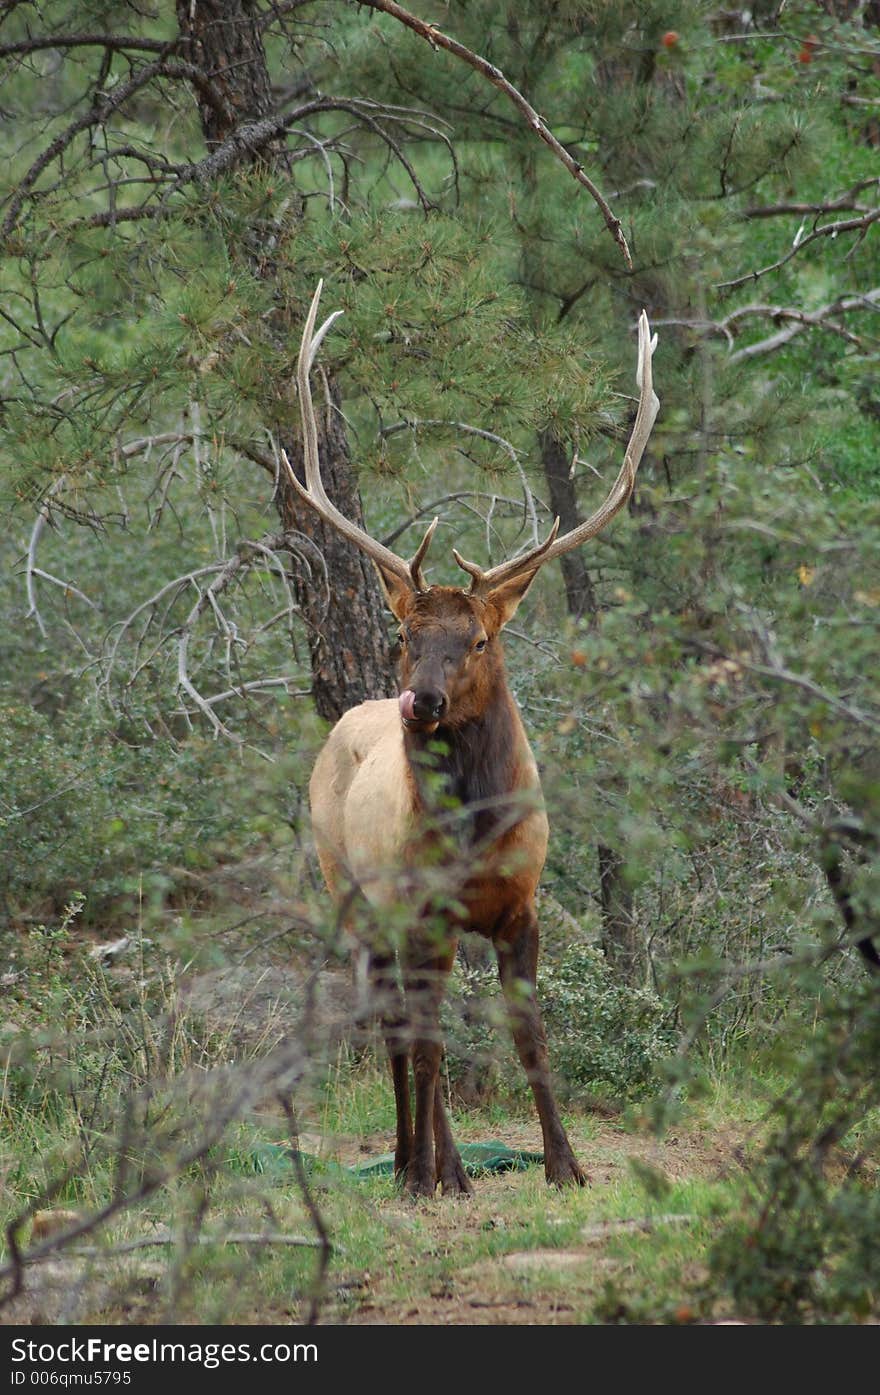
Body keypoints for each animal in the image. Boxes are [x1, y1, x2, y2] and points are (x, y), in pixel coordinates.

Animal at [285, 283, 658, 1199]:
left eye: (480, 639)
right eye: (405, 635)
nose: (420, 699)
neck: (478, 835)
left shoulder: (522, 905)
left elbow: (530, 1035)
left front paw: (566, 1164)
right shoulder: (424, 912)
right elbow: (430, 1045)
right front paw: (430, 1171)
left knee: (407, 1022)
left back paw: (425, 1158)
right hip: (350, 889)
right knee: (395, 1023)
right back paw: (419, 1162)